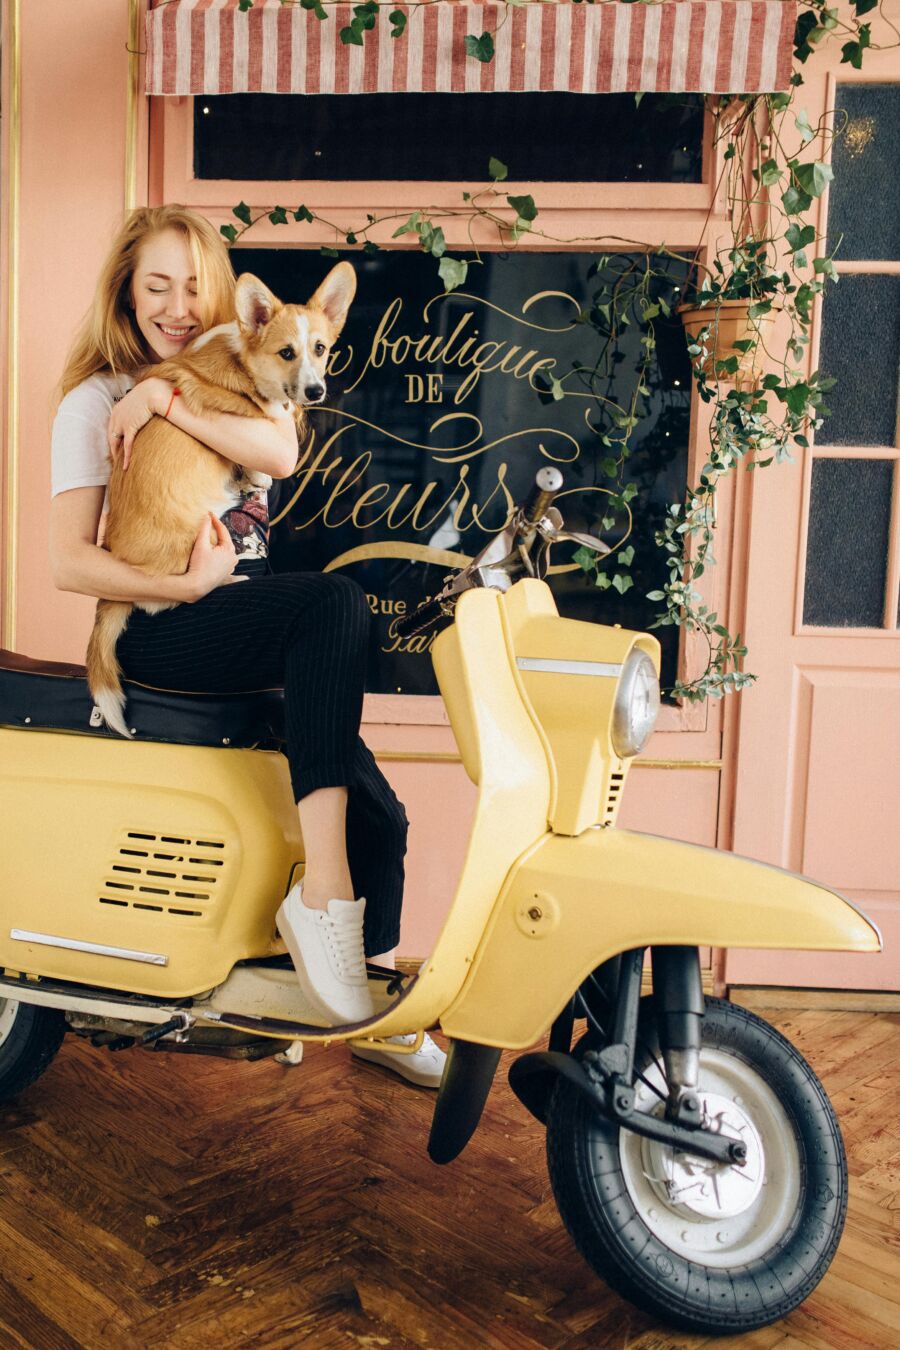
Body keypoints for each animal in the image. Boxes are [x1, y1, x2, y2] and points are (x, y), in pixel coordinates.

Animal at [86, 261, 356, 739]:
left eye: (321, 349)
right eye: (287, 353)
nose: (315, 392)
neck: (244, 360)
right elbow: (261, 437)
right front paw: (260, 471)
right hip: (202, 538)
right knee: (162, 598)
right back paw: (227, 578)